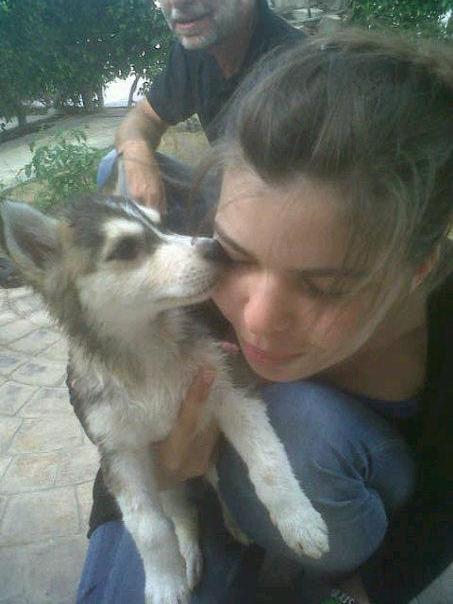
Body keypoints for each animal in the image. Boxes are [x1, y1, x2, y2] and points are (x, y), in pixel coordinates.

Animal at [0, 195, 328, 604]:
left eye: (163, 223)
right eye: (126, 248)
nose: (216, 248)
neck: (146, 351)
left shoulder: (232, 390)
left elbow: (269, 463)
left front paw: (299, 521)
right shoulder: (121, 454)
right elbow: (149, 528)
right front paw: (163, 581)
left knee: (220, 487)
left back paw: (236, 523)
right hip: (164, 475)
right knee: (182, 513)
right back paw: (187, 554)